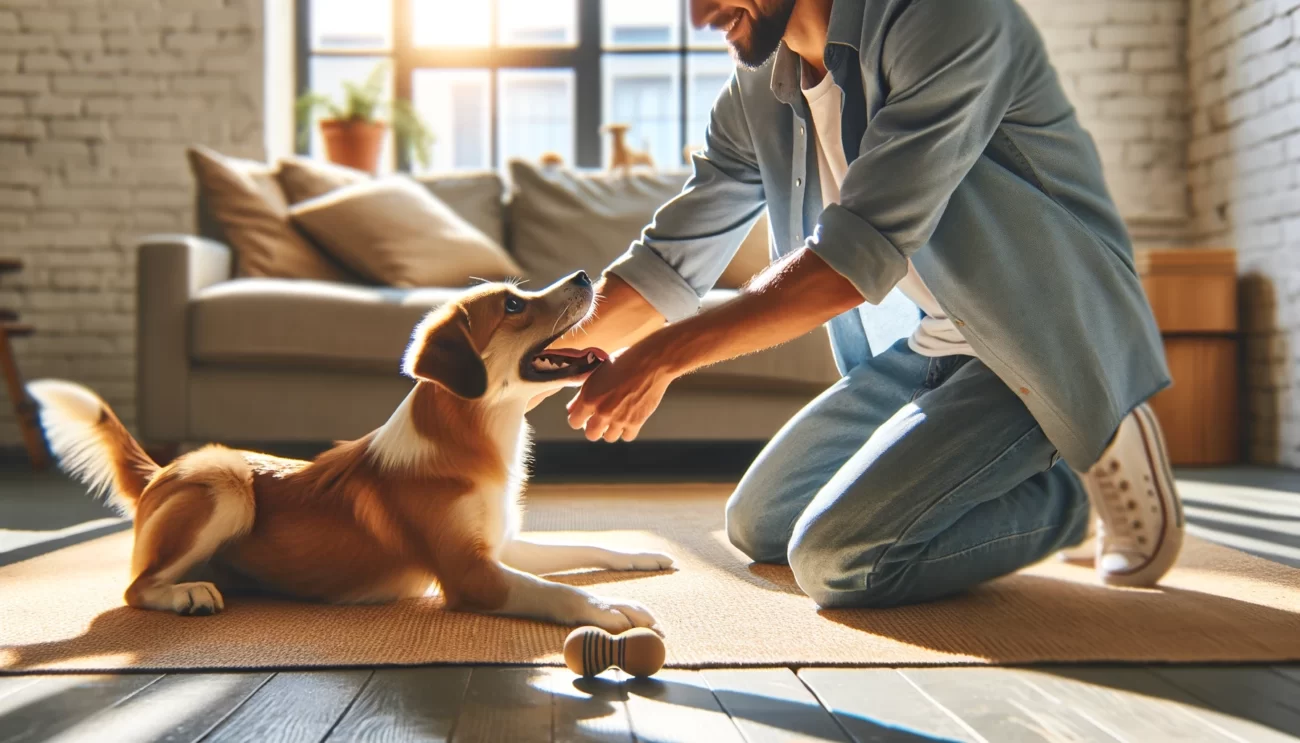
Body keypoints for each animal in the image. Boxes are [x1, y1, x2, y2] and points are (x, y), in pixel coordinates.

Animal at [27, 271, 670, 633]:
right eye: (513, 306)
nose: (586, 274)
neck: (474, 435)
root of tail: (163, 469)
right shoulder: (470, 574)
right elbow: (559, 590)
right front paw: (611, 611)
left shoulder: (502, 546)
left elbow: (585, 546)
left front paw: (641, 556)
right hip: (225, 479)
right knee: (136, 587)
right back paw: (188, 595)